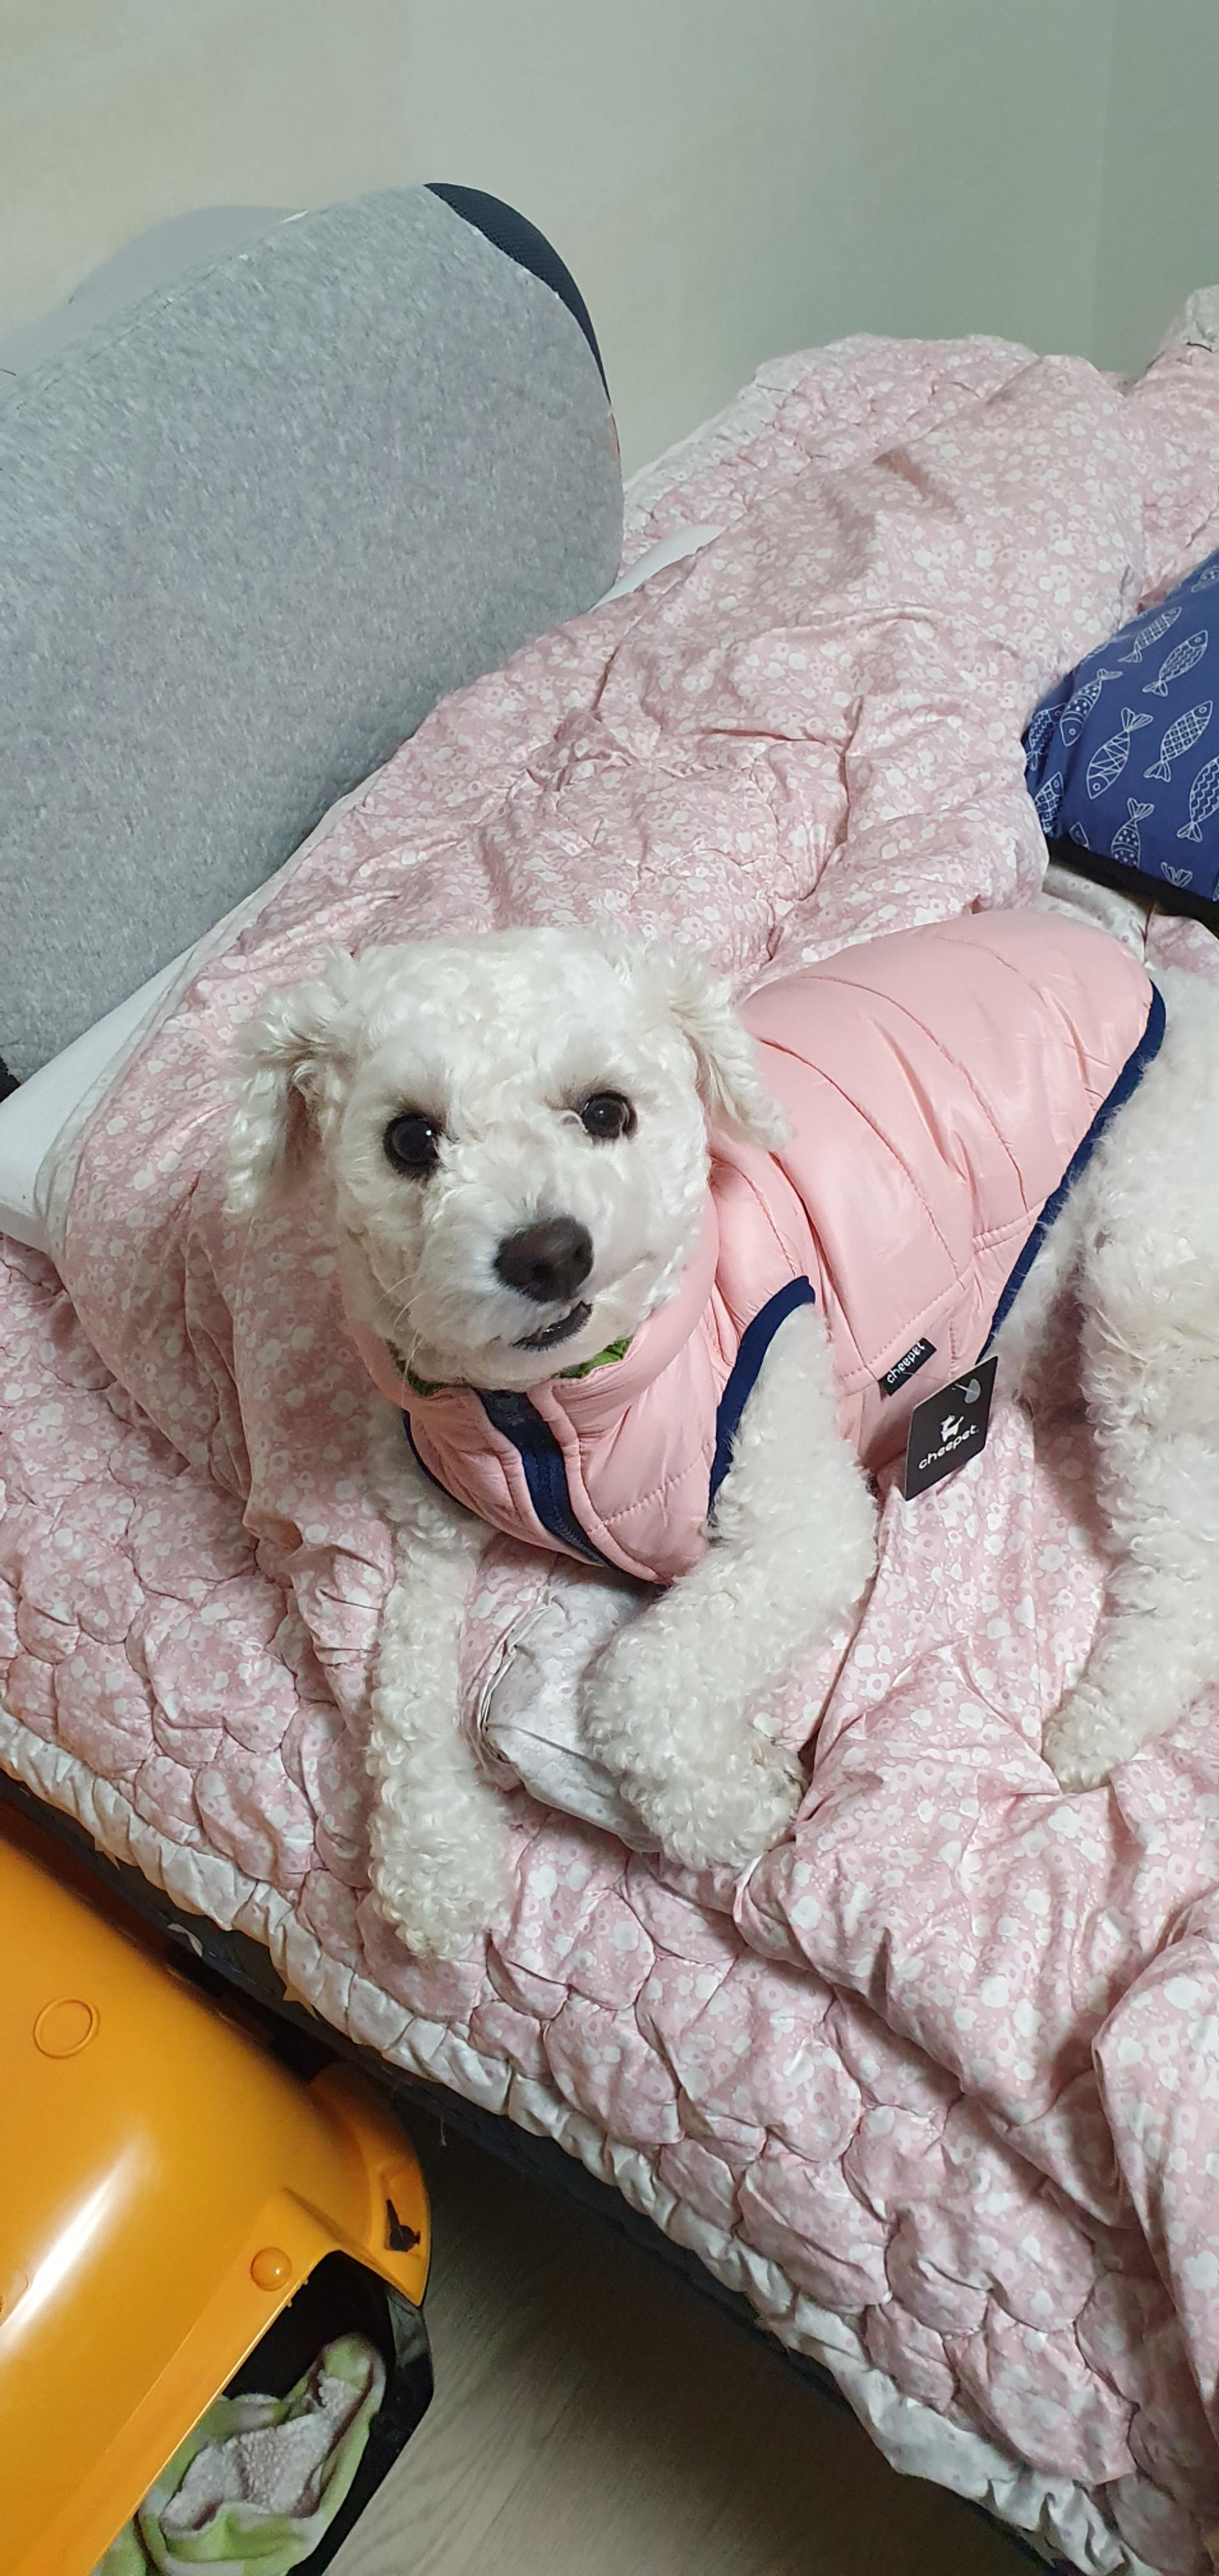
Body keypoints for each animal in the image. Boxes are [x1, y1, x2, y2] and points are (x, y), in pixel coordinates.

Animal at [228, 914, 1219, 1959]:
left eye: (607, 1109)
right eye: (410, 1138)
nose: (550, 1253)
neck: (557, 1408)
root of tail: (1167, 980)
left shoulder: (801, 1514)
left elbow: (635, 1681)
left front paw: (731, 1802)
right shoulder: (427, 1514)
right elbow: (402, 1689)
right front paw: (434, 1860)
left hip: (1147, 1286)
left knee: (1188, 1562)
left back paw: (1093, 1725)